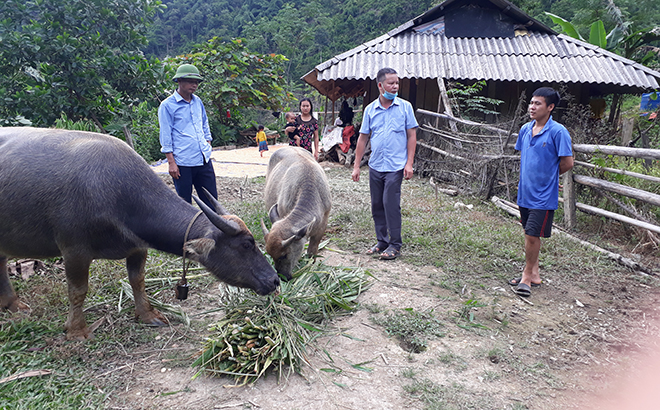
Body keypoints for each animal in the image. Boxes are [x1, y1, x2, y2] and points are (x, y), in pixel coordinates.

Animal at [0, 127, 278, 340]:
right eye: (246, 244)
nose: (275, 280)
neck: (114, 192)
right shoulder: (74, 251)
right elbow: (78, 290)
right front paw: (77, 330)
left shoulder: (137, 247)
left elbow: (138, 280)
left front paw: (147, 314)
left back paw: (12, 304)